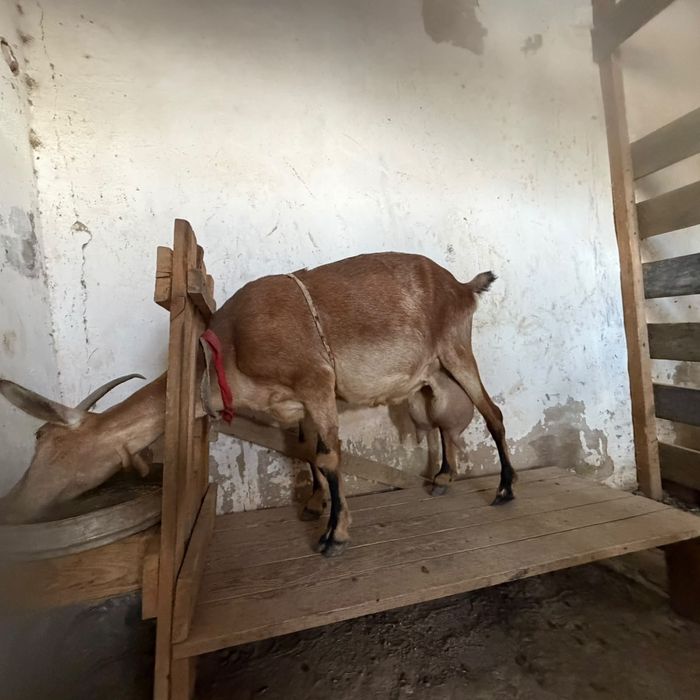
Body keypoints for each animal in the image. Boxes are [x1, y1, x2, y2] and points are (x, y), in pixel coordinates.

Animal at [0, 252, 515, 556]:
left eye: (46, 442)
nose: (12, 506)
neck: (225, 350)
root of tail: (463, 286)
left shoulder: (315, 380)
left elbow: (330, 456)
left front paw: (333, 535)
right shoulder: (297, 404)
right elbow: (309, 455)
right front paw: (314, 505)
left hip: (456, 348)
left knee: (493, 413)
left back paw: (505, 490)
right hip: (431, 379)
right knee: (443, 425)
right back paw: (444, 477)